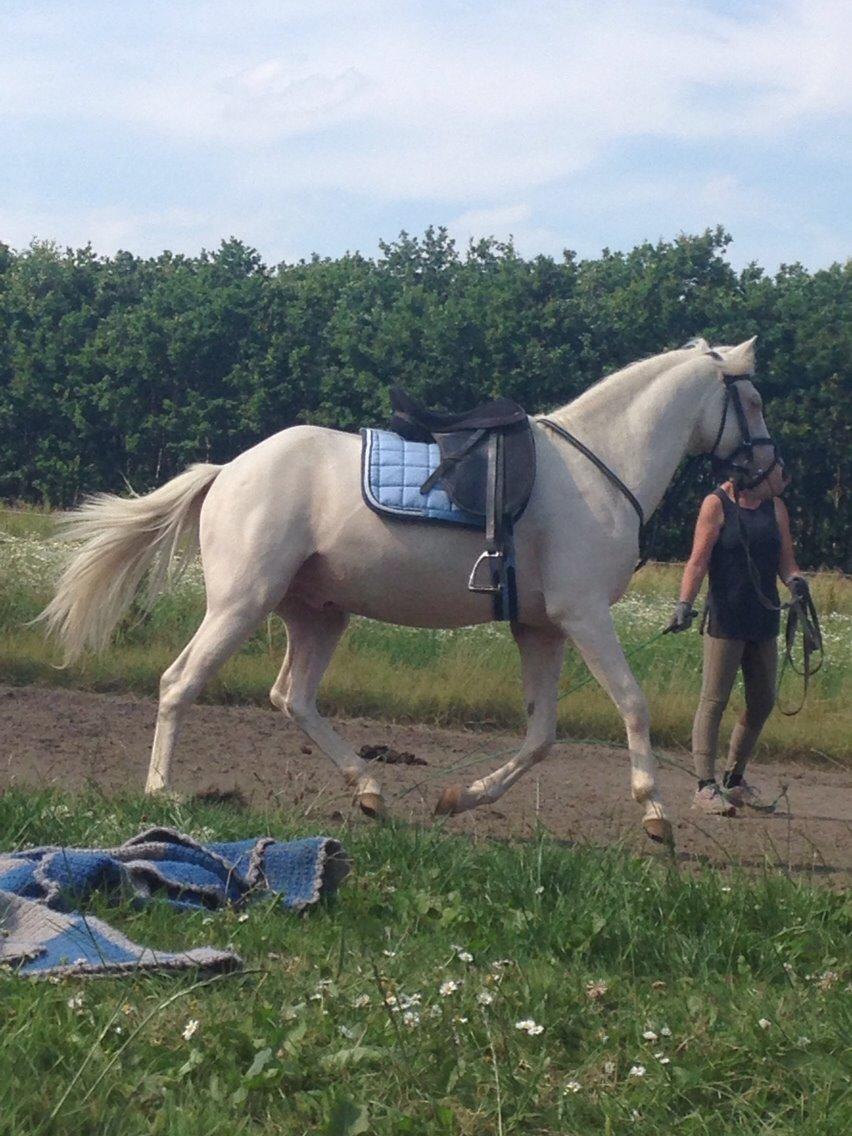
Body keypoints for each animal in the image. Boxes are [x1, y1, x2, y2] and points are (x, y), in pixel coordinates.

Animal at [40, 337, 775, 846]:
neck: (600, 467)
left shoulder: (540, 629)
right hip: (242, 604)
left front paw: (461, 798)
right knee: (180, 682)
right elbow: (632, 703)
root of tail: (228, 469)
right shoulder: (585, 616)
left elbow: (541, 736)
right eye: (755, 401)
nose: (771, 468)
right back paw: (162, 791)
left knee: (292, 698)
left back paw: (369, 788)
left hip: (319, 615)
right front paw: (655, 811)